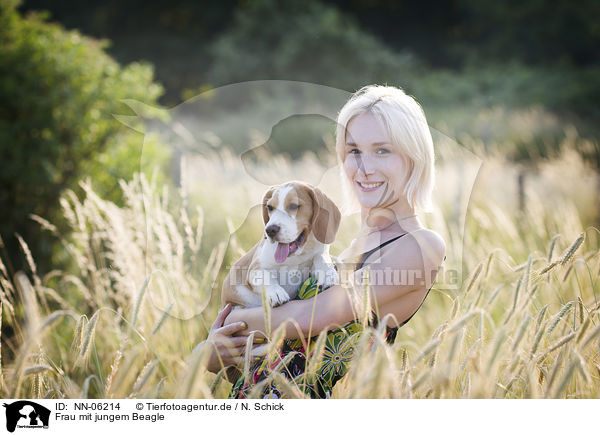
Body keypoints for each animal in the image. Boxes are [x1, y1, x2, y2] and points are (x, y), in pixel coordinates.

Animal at [221, 181, 342, 310]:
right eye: (269, 207)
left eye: (293, 206)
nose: (270, 230)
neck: (296, 256)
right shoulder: (255, 268)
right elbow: (265, 276)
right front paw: (276, 293)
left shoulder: (320, 251)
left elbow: (322, 258)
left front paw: (328, 274)